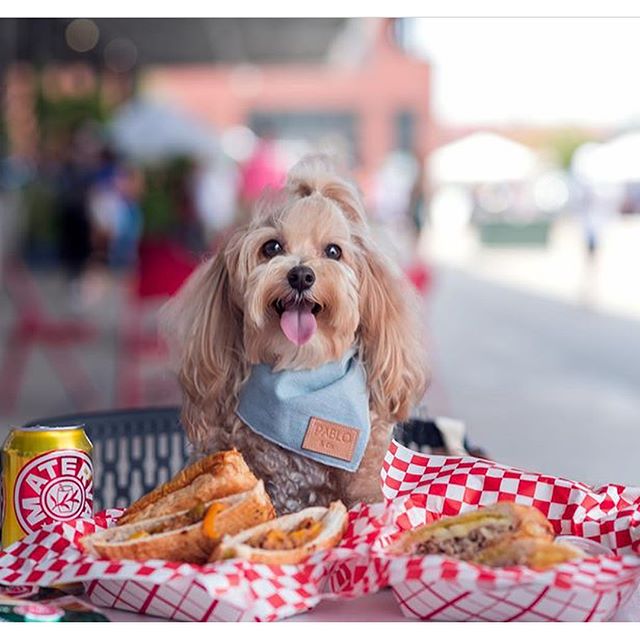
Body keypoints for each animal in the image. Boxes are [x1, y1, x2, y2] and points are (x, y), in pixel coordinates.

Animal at [162, 152, 428, 512]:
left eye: (333, 251)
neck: (300, 372)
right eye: (272, 247)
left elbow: (364, 492)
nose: (301, 275)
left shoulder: (364, 469)